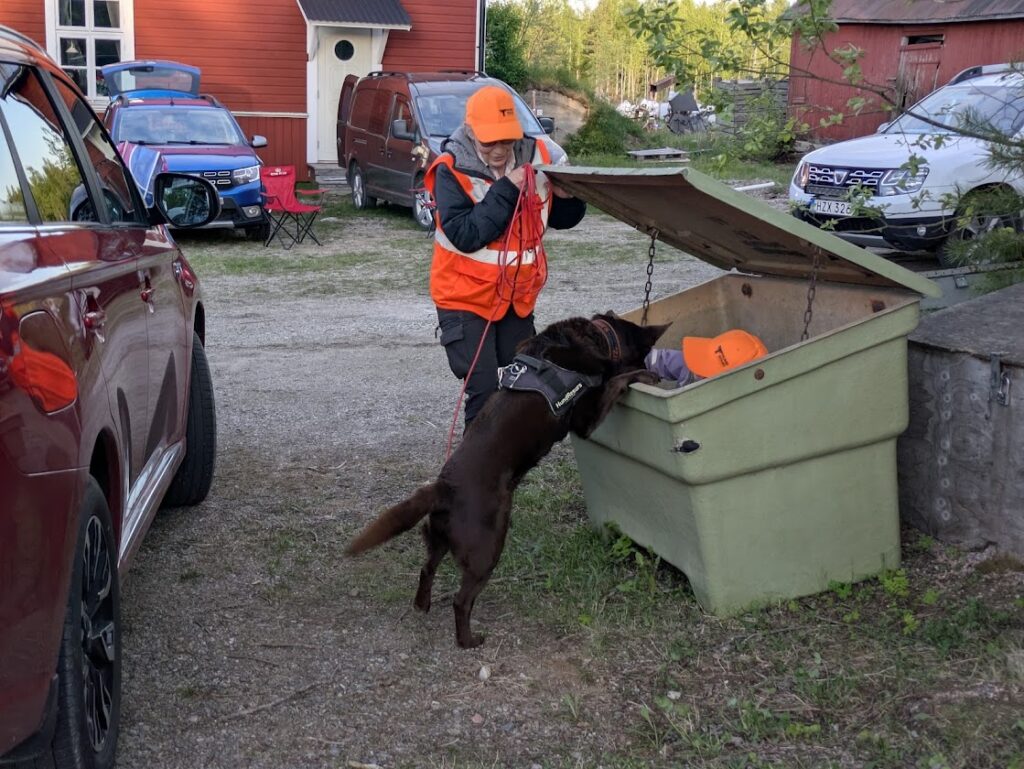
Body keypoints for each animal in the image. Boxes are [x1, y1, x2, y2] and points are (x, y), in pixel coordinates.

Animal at [345, 313, 669, 648]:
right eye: (645, 356)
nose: (651, 365)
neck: (598, 337)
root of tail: (443, 487)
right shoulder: (584, 420)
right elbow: (616, 381)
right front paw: (644, 375)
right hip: (486, 547)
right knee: (461, 600)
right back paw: (469, 640)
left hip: (440, 538)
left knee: (426, 568)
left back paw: (422, 605)